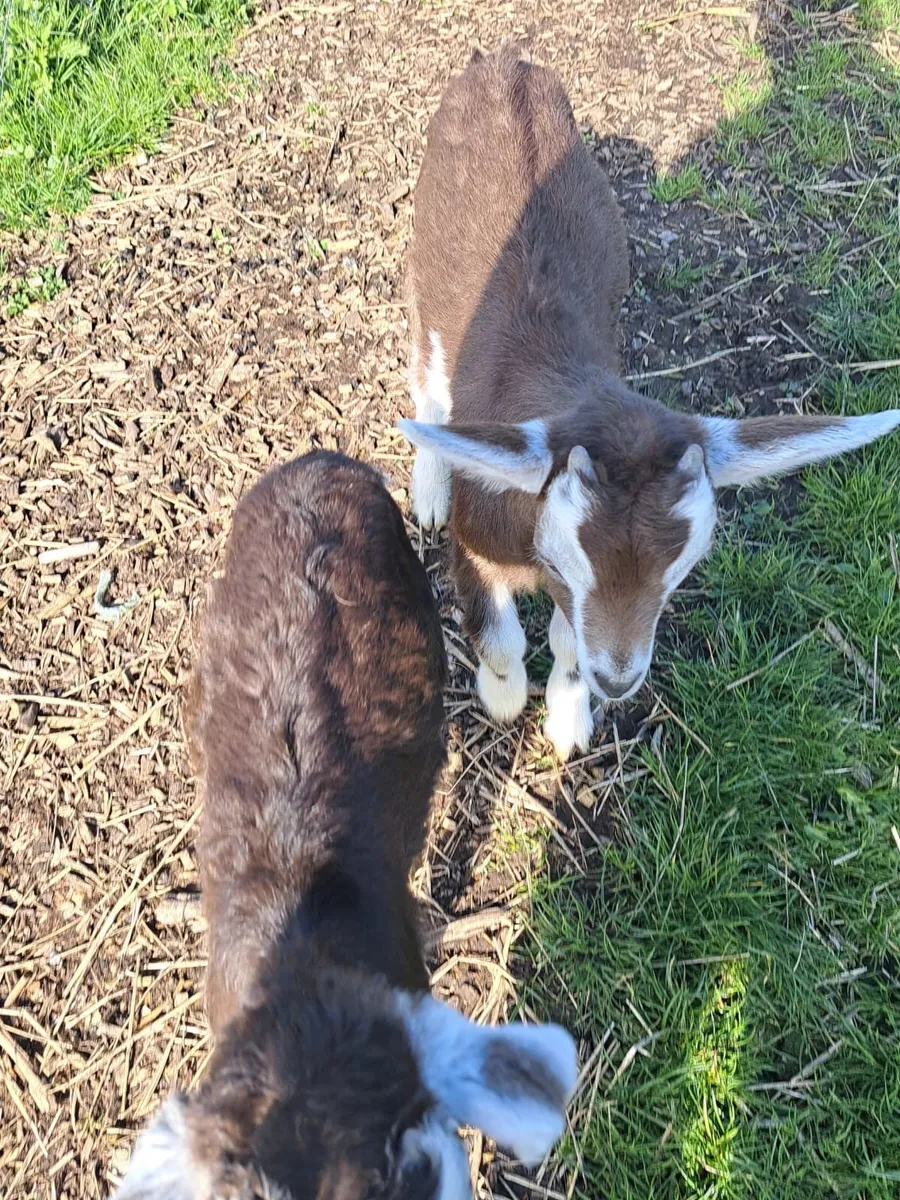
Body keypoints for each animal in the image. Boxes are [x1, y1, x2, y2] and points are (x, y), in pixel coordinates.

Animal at [399, 46, 900, 760]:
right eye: (565, 559)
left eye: (680, 570)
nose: (618, 678)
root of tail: (502, 63)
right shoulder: (479, 538)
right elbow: (498, 637)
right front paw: (504, 699)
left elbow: (566, 639)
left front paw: (569, 721)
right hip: (424, 268)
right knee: (426, 376)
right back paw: (430, 488)